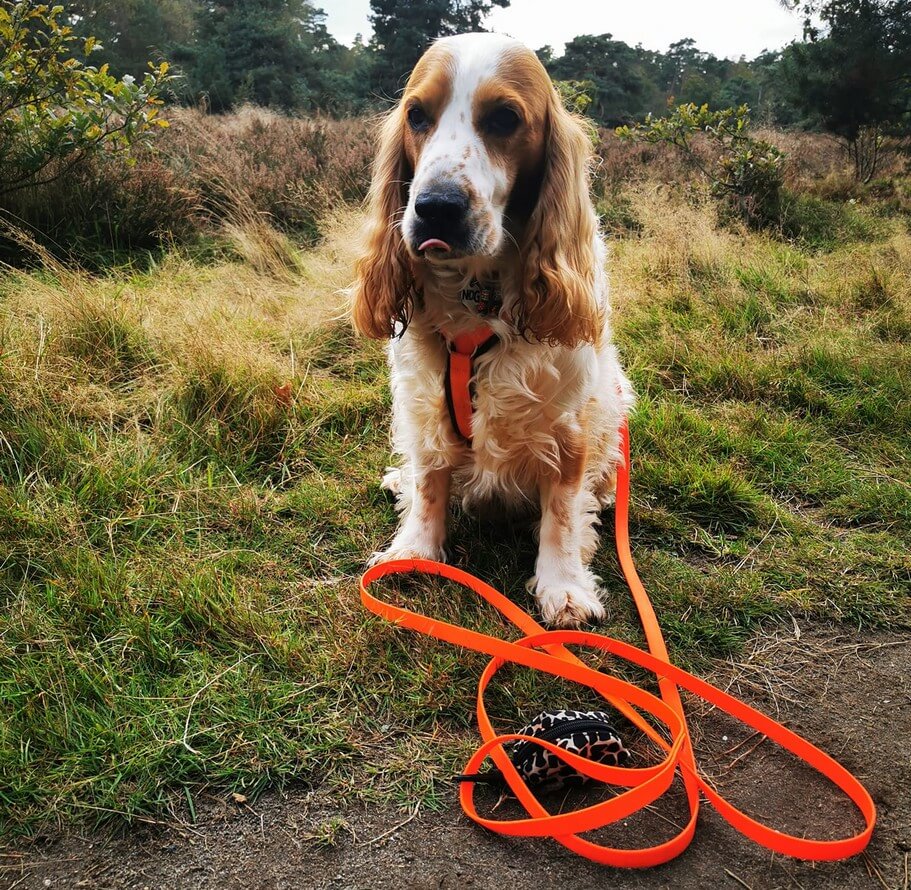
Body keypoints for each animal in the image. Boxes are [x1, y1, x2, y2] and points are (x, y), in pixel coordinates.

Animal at [350, 29, 636, 624]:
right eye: (416, 115)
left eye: (505, 118)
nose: (435, 207)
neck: (477, 295)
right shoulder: (424, 401)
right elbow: (429, 479)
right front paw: (414, 549)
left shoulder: (567, 422)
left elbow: (562, 511)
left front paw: (563, 585)